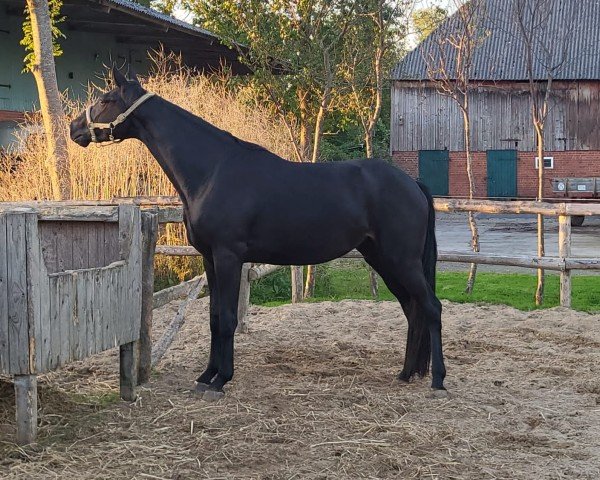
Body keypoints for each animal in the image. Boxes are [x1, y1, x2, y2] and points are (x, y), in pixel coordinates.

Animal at [69, 67, 446, 398]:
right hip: (383, 259)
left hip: (401, 261)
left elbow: (228, 318)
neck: (212, 171)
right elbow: (214, 316)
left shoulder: (228, 256)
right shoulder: (210, 259)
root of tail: (411, 183)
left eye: (105, 99)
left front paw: (221, 380)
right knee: (412, 309)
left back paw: (438, 381)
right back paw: (405, 373)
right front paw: (206, 376)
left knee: (430, 307)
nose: (74, 128)